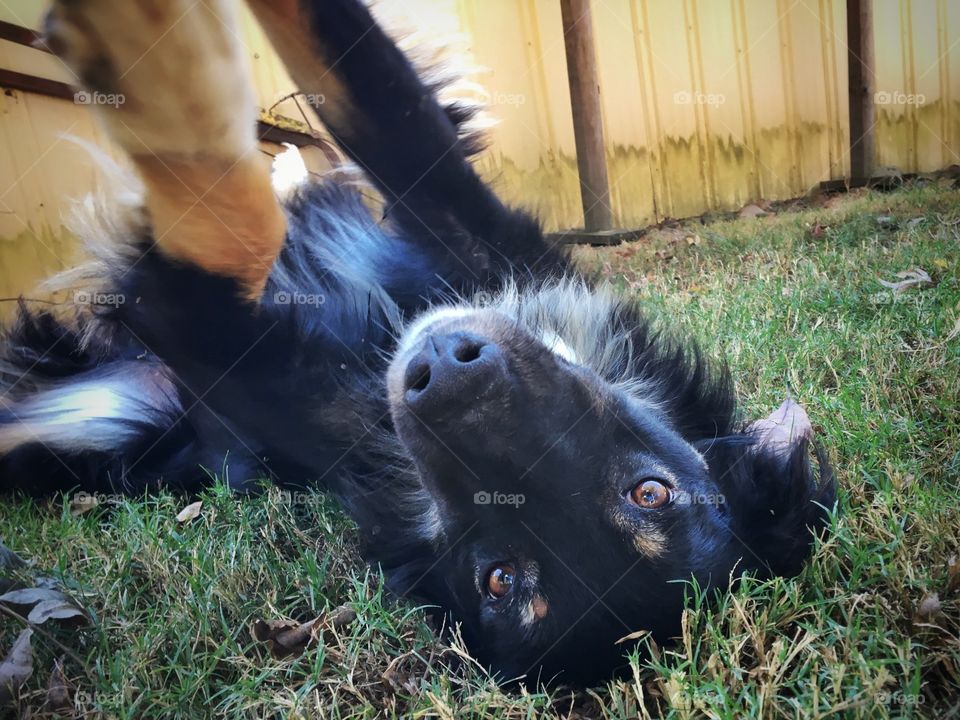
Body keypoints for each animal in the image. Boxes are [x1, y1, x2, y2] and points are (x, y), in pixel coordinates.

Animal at [0, 0, 832, 688]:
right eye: (651, 493)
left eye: (500, 579)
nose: (435, 373)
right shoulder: (473, 231)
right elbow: (362, 88)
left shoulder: (224, 346)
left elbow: (226, 237)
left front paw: (159, 72)